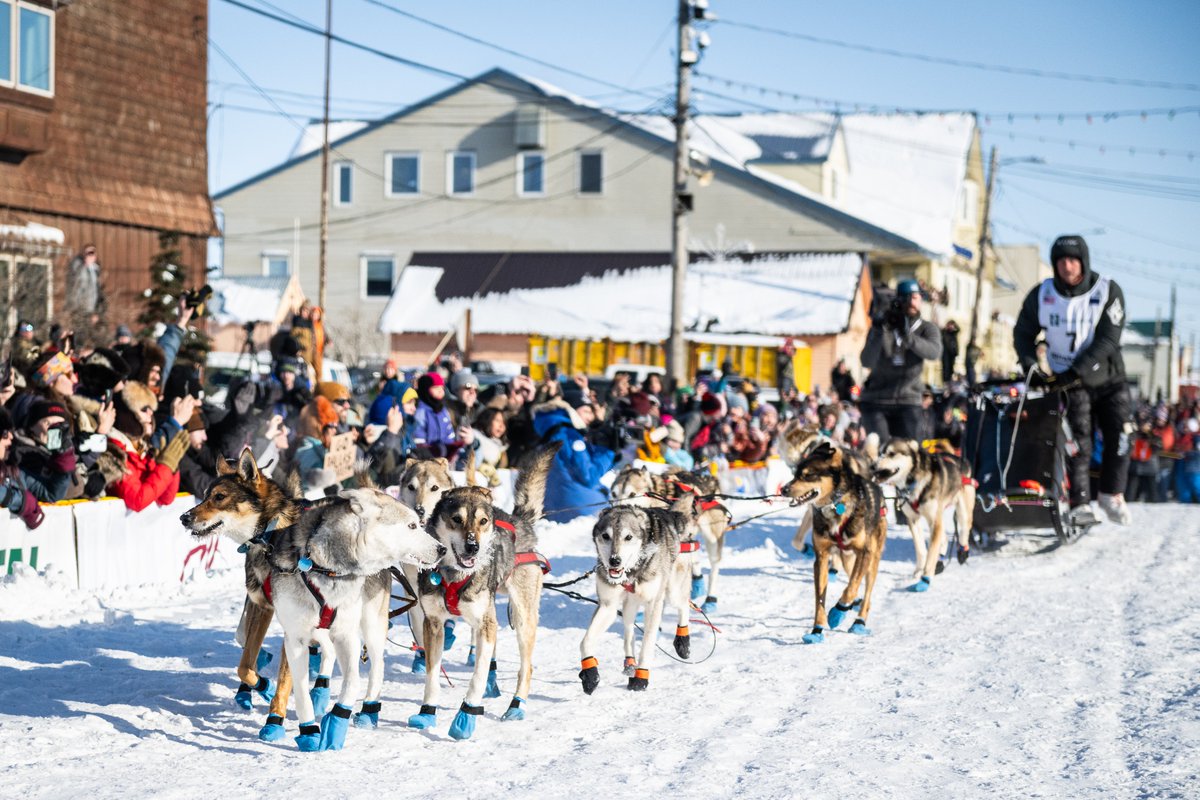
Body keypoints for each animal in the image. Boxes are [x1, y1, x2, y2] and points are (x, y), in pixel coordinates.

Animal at [580, 494, 700, 695]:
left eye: (628, 537)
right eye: (606, 536)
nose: (614, 560)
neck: (632, 571)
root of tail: (673, 514)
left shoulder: (653, 604)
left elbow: (647, 644)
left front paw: (641, 677)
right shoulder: (607, 605)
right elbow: (586, 641)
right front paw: (590, 672)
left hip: (673, 591)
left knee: (684, 605)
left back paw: (683, 642)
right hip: (629, 605)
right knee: (629, 631)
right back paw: (629, 663)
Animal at [782, 443, 888, 652]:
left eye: (808, 475)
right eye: (795, 473)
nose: (783, 489)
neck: (835, 506)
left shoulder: (865, 552)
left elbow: (851, 588)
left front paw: (837, 613)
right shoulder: (821, 557)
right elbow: (820, 599)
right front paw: (817, 630)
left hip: (873, 558)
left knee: (866, 592)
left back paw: (859, 621)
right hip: (847, 558)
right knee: (852, 577)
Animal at [873, 441, 974, 592]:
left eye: (891, 454)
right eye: (880, 453)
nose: (872, 466)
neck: (914, 483)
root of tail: (958, 459)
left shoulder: (934, 521)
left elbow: (931, 553)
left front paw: (925, 579)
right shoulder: (913, 519)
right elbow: (921, 548)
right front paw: (919, 571)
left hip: (963, 510)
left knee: (964, 529)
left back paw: (963, 551)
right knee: (944, 538)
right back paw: (940, 560)